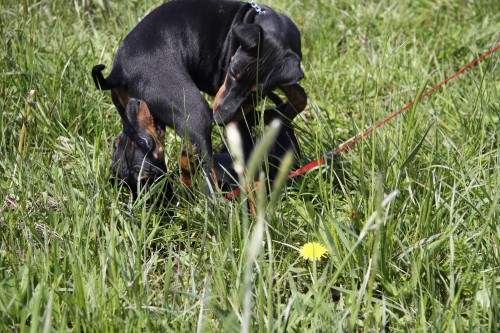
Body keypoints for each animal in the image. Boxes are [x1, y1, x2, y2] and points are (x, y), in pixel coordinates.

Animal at [92, 0, 306, 193]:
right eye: (231, 71)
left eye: (258, 93)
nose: (220, 120)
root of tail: (117, 72)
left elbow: (300, 96)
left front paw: (275, 114)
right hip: (196, 111)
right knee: (210, 180)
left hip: (131, 114)